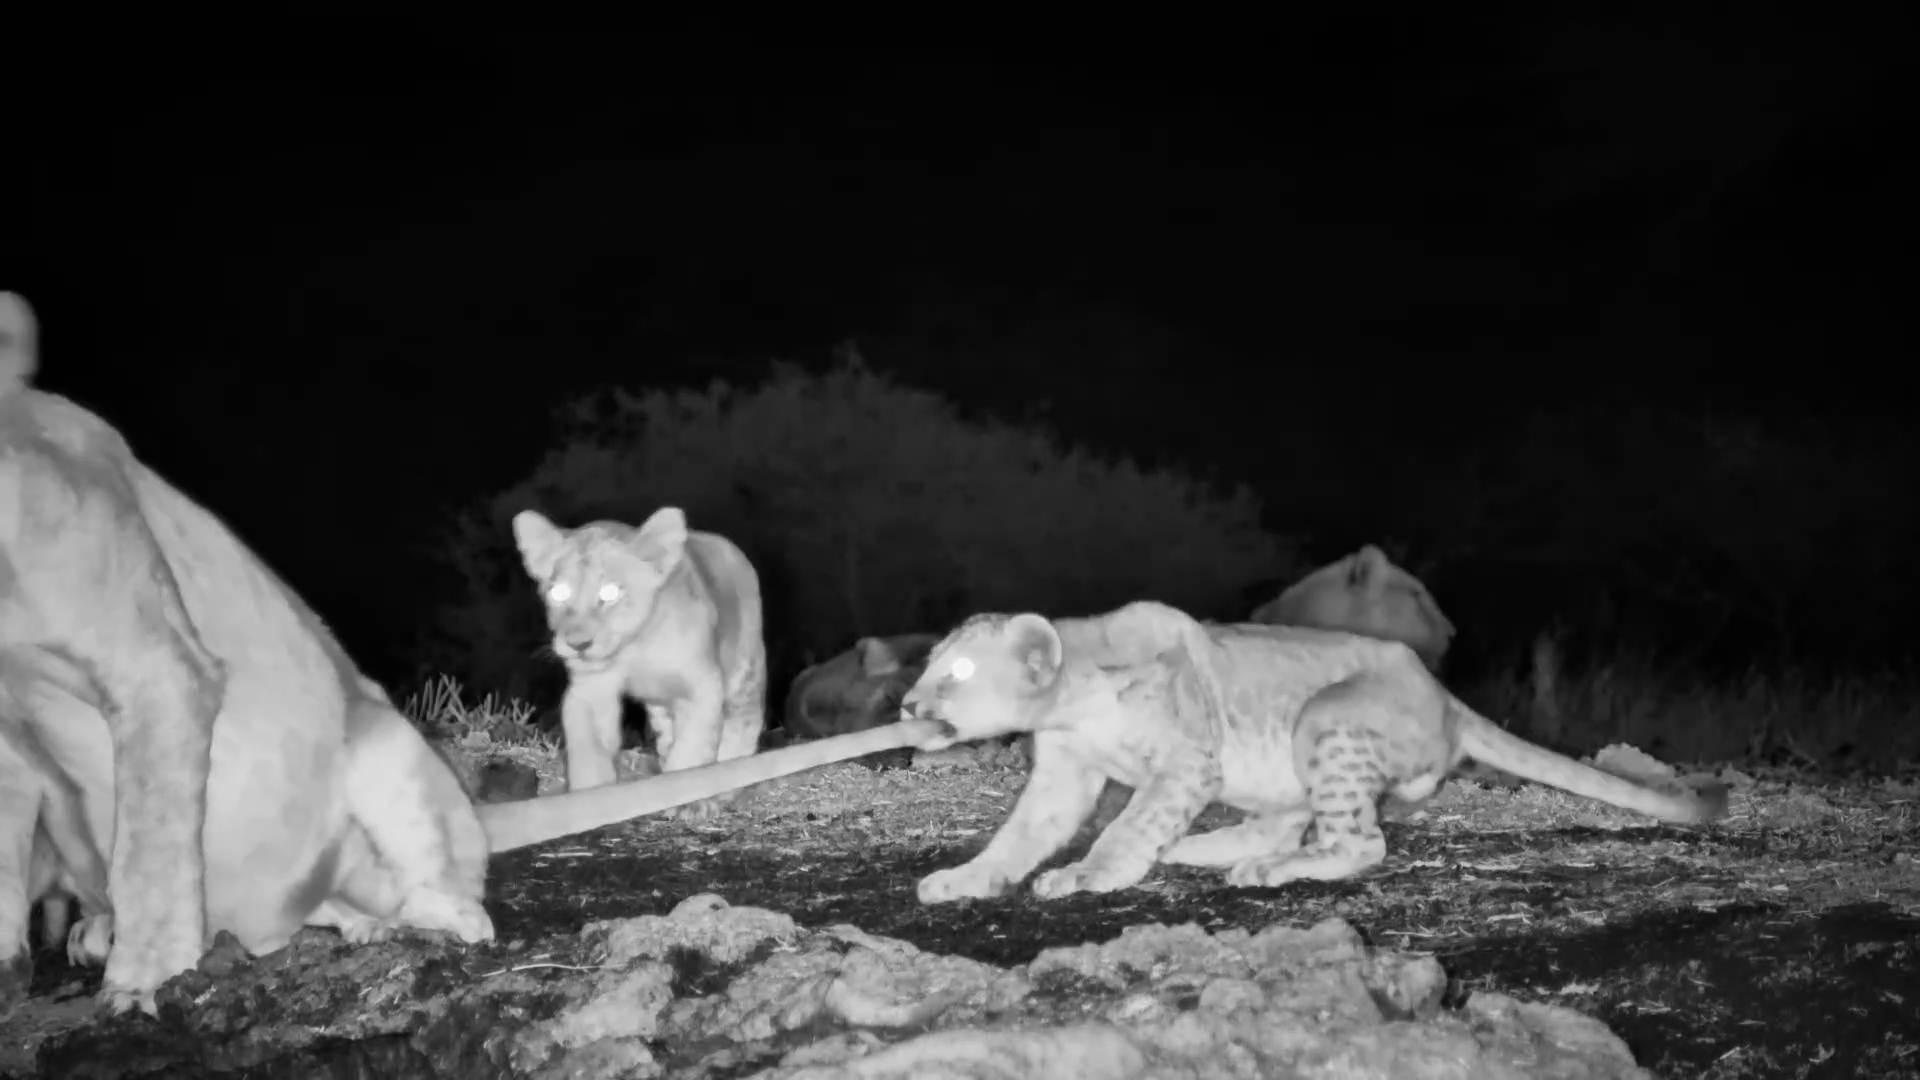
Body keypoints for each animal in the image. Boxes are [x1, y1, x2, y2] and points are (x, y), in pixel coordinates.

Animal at [897, 601, 1727, 904]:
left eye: (957, 673)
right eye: (930, 663)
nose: (904, 706)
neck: (1072, 695)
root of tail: (1444, 695)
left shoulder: (1189, 761)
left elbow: (1126, 827)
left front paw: (1088, 876)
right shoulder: (1064, 774)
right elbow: (1019, 835)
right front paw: (965, 880)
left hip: (1325, 721)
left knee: (1360, 842)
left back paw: (1268, 867)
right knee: (1291, 819)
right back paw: (1210, 850)